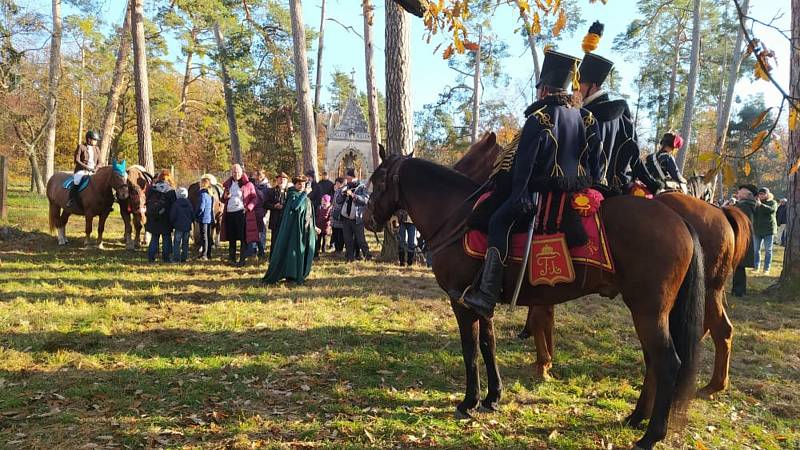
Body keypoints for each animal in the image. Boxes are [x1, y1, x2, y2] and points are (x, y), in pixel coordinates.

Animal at [366, 149, 704, 450]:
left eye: (377, 180)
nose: (369, 219)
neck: (457, 215)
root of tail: (680, 221)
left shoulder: (460, 302)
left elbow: (470, 350)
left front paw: (469, 401)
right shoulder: (481, 303)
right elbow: (488, 345)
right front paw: (493, 397)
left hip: (648, 312)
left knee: (666, 363)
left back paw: (651, 436)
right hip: (649, 313)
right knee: (653, 363)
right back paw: (636, 418)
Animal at [456, 134, 752, 398]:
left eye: (474, 158)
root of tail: (719, 213)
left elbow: (541, 317)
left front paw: (543, 362)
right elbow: (543, 317)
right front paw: (544, 360)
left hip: (707, 290)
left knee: (717, 329)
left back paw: (712, 384)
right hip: (705, 291)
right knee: (714, 329)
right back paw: (711, 384)